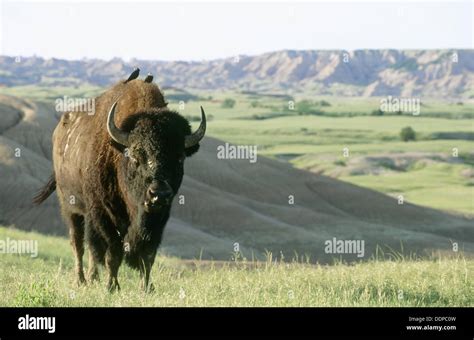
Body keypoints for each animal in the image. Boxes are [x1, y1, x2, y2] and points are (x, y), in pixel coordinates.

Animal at [31, 69, 206, 292]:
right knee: (78, 243)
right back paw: (81, 280)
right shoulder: (104, 214)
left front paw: (146, 288)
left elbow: (147, 256)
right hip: (71, 207)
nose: (158, 194)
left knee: (91, 248)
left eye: (180, 158)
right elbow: (112, 252)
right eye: (135, 156)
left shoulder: (158, 219)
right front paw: (112, 287)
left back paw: (93, 277)